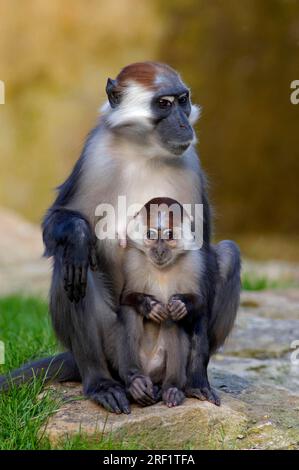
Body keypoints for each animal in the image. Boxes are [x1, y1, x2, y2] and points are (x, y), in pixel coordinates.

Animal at [118, 197, 220, 408]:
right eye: (151, 235)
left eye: (169, 235)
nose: (158, 250)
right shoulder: (133, 259)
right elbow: (124, 298)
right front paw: (150, 306)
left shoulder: (194, 260)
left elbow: (200, 303)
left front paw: (181, 304)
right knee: (130, 311)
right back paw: (136, 383)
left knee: (172, 320)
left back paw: (171, 389)